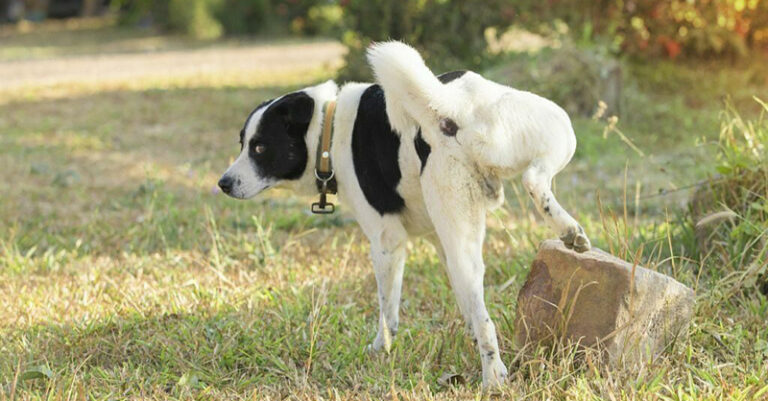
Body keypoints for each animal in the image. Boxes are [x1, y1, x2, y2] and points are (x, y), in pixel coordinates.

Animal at [219, 40, 592, 388]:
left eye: (259, 147)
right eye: (242, 143)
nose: (223, 183)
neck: (329, 130)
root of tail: (451, 106)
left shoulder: (386, 241)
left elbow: (388, 312)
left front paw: (379, 350)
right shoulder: (440, 242)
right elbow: (466, 307)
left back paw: (492, 377)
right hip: (544, 149)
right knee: (533, 180)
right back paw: (568, 231)